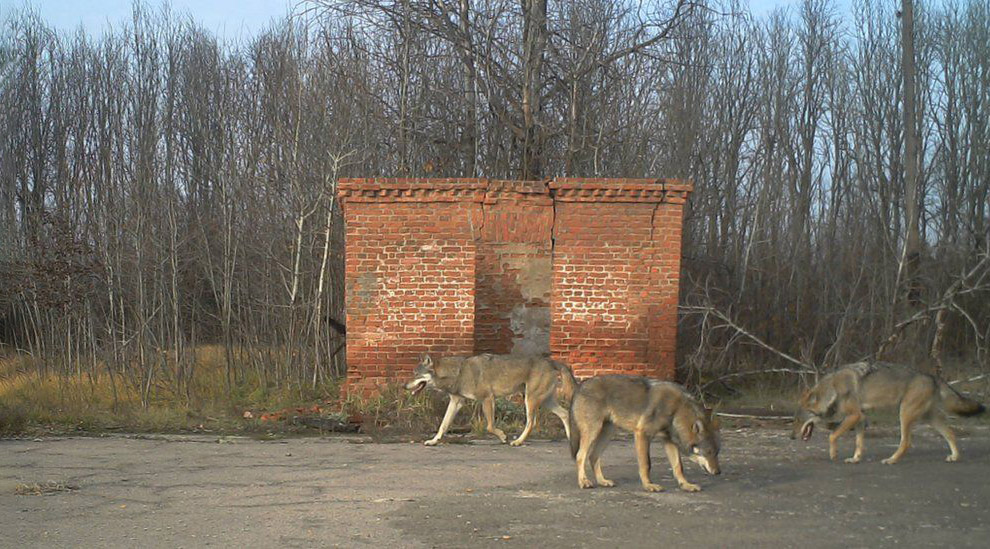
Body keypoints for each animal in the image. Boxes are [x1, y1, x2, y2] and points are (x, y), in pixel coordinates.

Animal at [404, 356, 576, 446]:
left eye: (415, 374)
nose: (403, 386)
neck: (458, 373)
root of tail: (551, 361)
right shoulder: (456, 402)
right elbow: (443, 426)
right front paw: (433, 441)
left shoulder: (487, 399)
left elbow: (490, 427)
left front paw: (503, 437)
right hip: (544, 401)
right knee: (565, 414)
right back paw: (570, 438)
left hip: (530, 400)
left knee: (531, 422)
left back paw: (518, 441)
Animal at [564, 376, 720, 492]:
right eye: (709, 452)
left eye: (717, 453)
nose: (718, 472)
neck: (677, 410)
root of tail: (580, 386)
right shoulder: (642, 434)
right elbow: (646, 464)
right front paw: (648, 485)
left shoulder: (669, 442)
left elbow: (678, 467)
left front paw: (686, 485)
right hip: (593, 432)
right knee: (580, 456)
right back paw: (584, 482)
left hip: (607, 433)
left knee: (593, 456)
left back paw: (602, 481)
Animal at [796, 362, 988, 464]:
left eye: (797, 421)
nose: (791, 437)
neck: (832, 389)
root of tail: (932, 377)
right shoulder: (860, 418)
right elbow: (858, 444)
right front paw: (855, 459)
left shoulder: (854, 415)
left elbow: (832, 436)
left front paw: (833, 454)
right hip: (929, 418)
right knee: (951, 433)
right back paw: (955, 456)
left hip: (904, 414)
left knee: (906, 442)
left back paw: (891, 460)